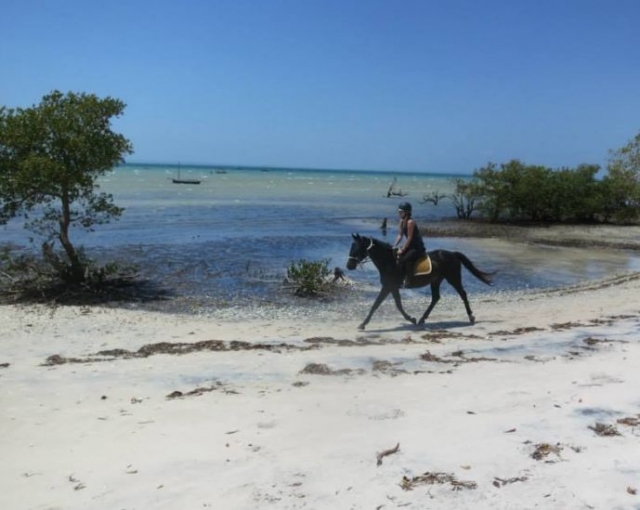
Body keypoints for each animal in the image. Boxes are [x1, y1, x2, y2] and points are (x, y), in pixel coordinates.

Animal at [346, 234, 495, 330]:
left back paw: (471, 317)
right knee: (436, 298)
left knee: (462, 294)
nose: (349, 266)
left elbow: (376, 305)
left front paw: (363, 324)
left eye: (357, 248)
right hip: (436, 280)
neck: (389, 261)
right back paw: (423, 318)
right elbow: (398, 305)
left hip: (453, 278)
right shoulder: (392, 287)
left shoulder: (388, 286)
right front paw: (412, 319)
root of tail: (453, 254)